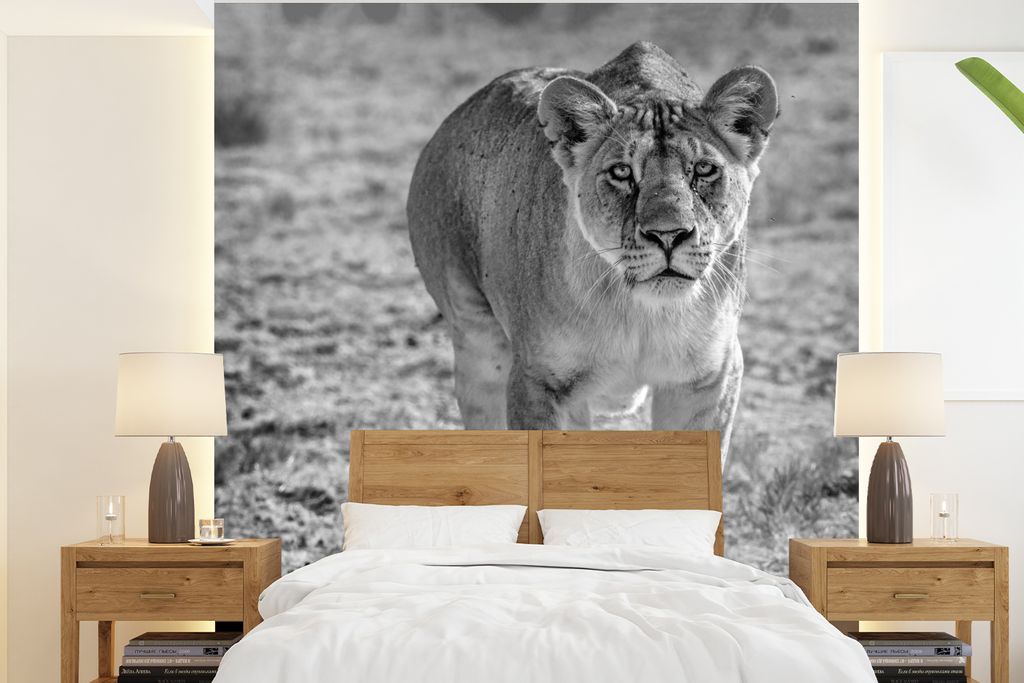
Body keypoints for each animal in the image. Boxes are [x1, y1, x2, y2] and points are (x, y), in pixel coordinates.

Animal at [407, 42, 778, 458]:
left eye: (703, 169)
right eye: (622, 173)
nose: (668, 235)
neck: (643, 314)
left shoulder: (709, 379)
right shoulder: (540, 381)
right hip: (477, 343)